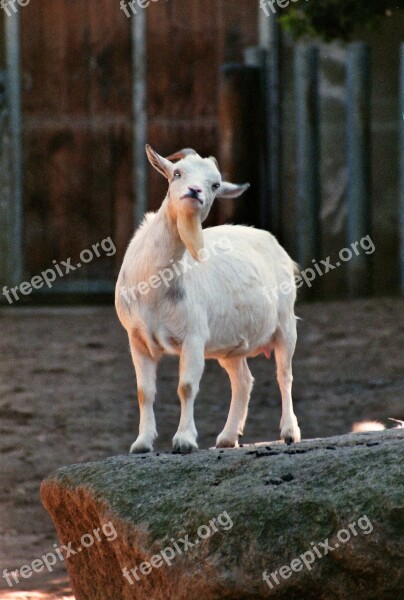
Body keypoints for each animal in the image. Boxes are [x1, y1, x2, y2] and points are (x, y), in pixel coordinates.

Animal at [115, 145, 302, 452]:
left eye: (215, 184)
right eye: (177, 173)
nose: (195, 191)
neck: (155, 286)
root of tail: (271, 240)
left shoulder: (193, 335)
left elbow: (186, 386)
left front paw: (184, 440)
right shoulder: (137, 339)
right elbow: (145, 391)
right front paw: (141, 443)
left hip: (286, 324)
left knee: (284, 374)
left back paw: (289, 432)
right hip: (231, 345)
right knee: (243, 380)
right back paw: (227, 438)